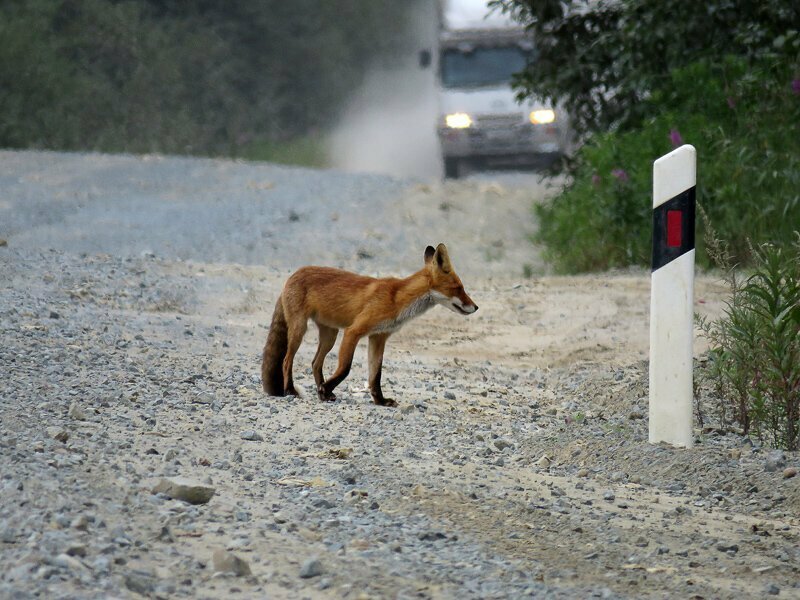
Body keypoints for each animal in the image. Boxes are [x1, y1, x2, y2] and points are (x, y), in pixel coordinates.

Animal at [260, 241, 476, 406]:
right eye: (458, 288)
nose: (476, 307)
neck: (397, 299)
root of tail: (292, 275)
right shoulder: (353, 331)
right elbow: (346, 368)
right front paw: (326, 389)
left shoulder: (378, 337)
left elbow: (375, 375)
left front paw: (380, 401)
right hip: (300, 329)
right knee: (287, 360)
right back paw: (291, 390)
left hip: (330, 335)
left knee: (315, 363)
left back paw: (323, 392)